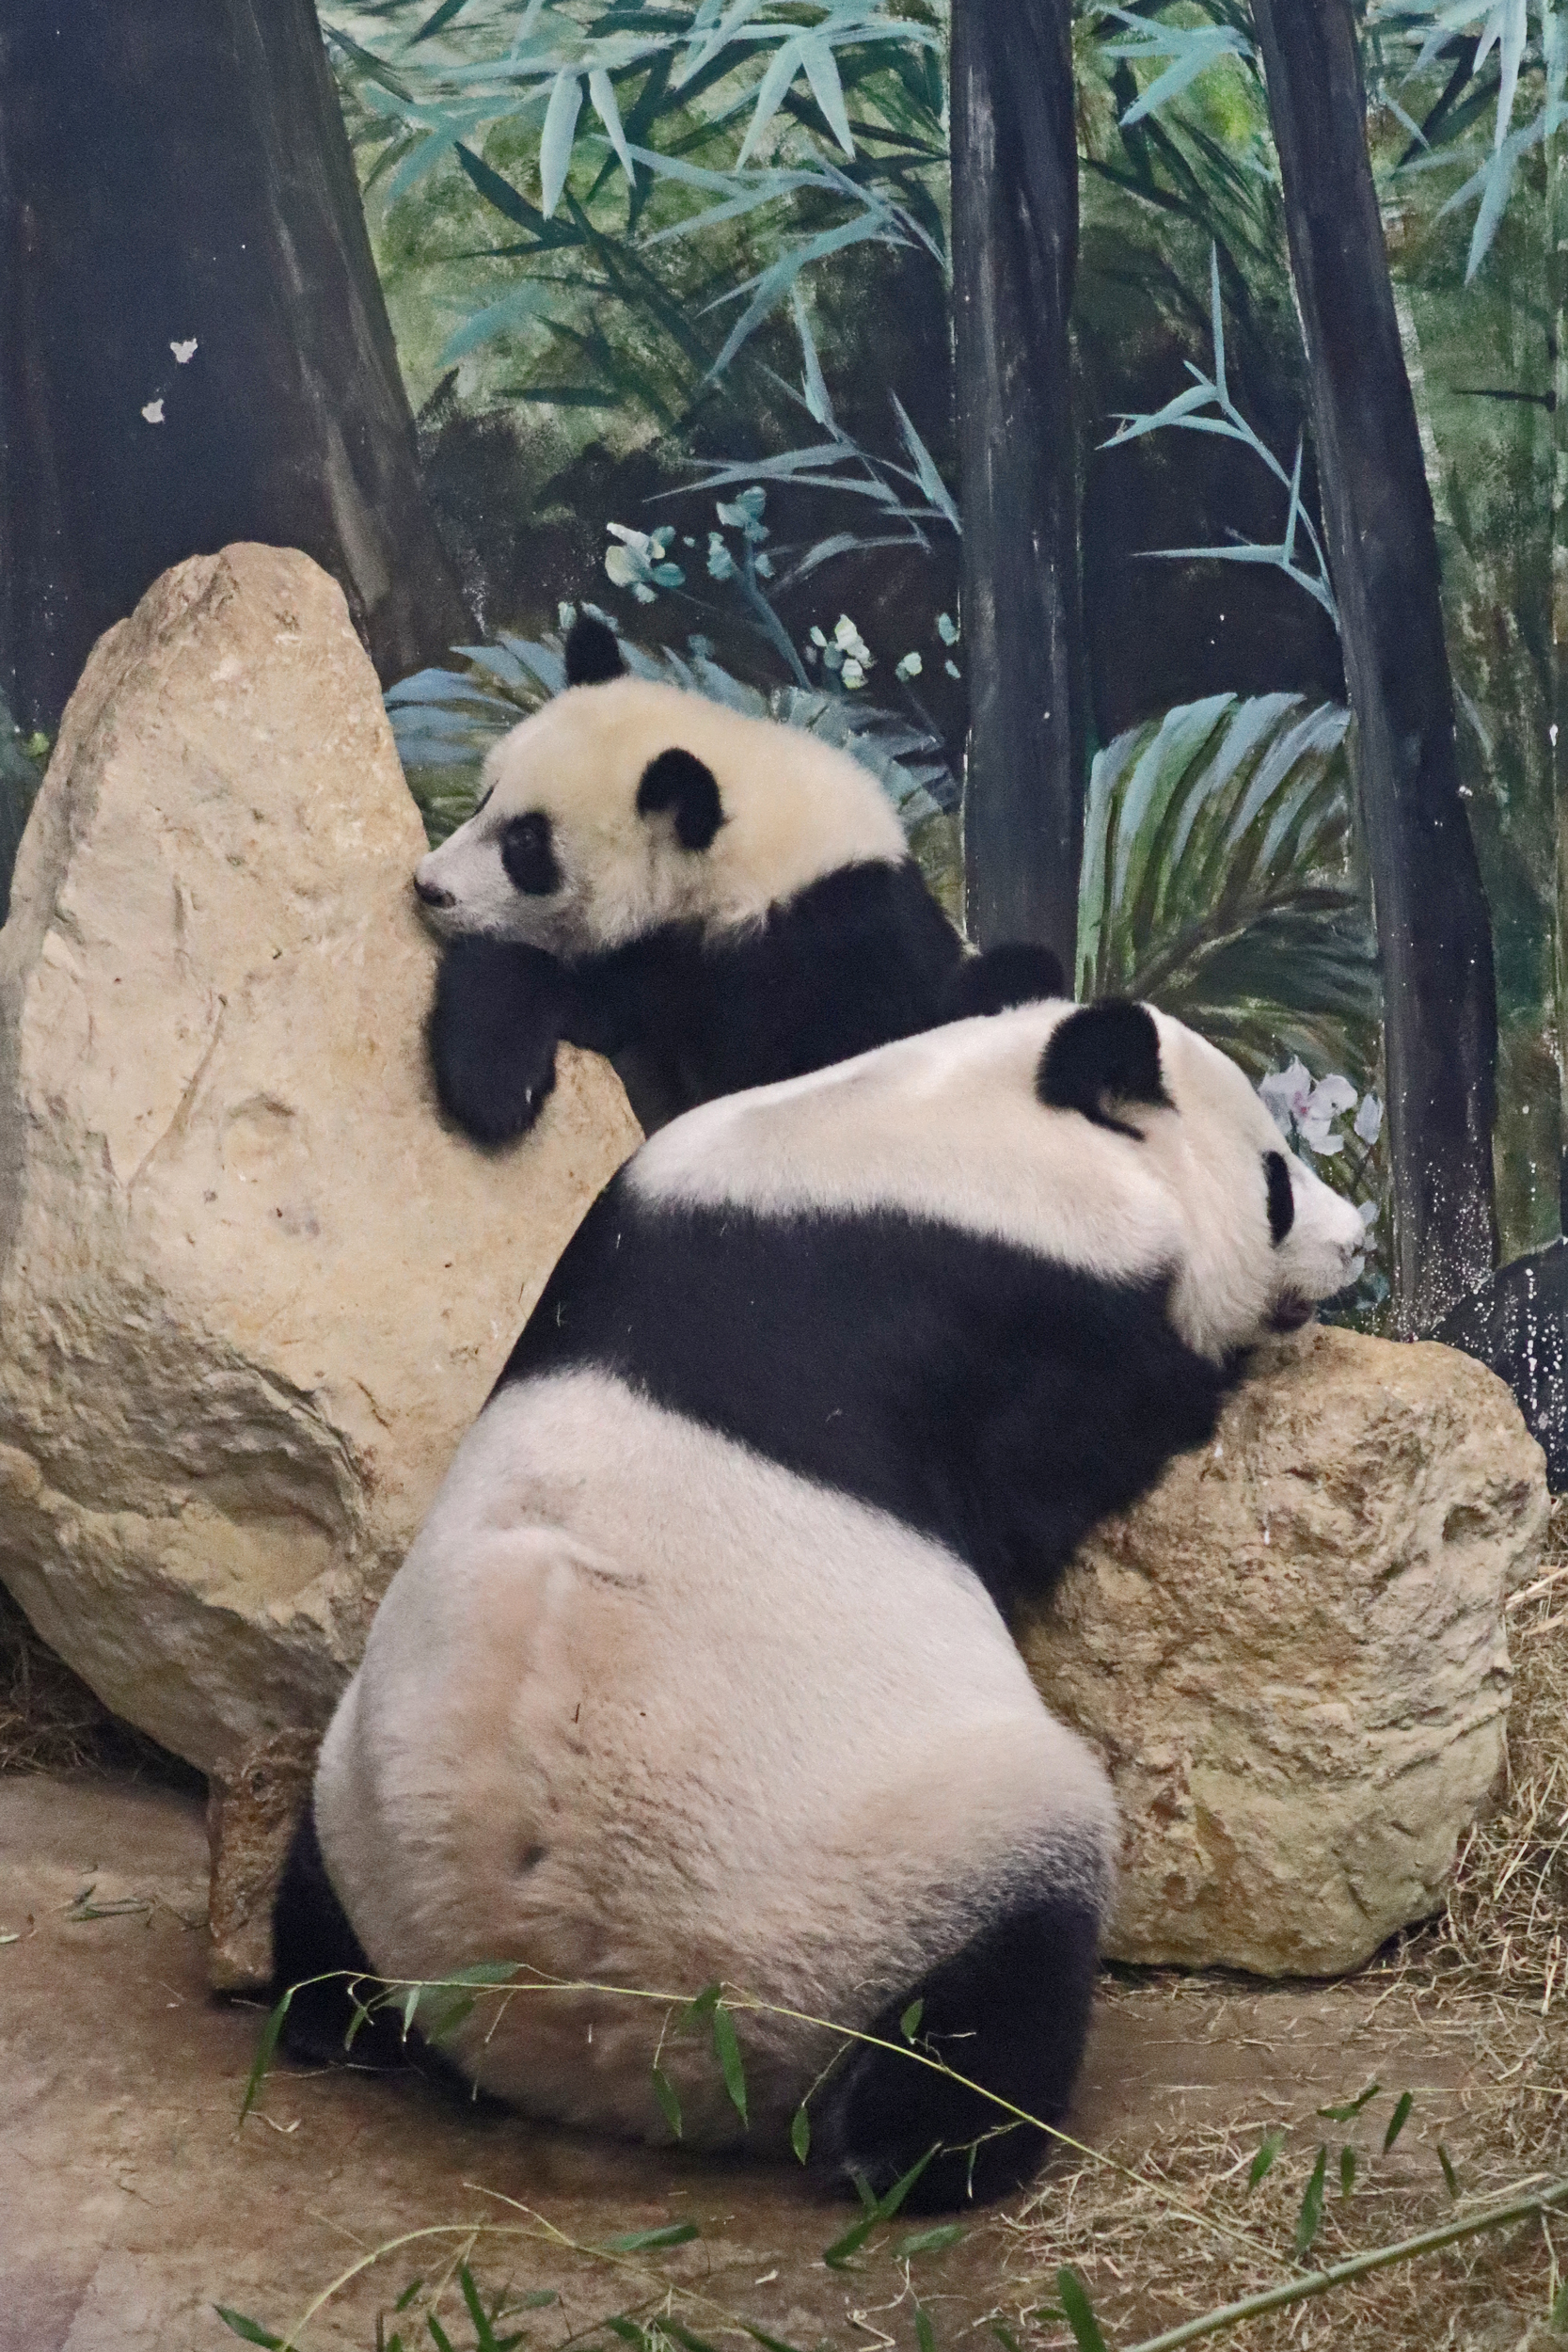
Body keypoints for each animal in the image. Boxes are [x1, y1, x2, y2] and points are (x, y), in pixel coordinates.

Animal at [272, 998, 1364, 2211]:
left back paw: (326, 2015)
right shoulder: (1000, 1313)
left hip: (367, 1807)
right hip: (890, 1871)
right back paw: (929, 2147)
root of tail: (580, 2023)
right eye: (1274, 1178)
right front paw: (1206, 1375)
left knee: (318, 1904)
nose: (1357, 1236)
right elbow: (1068, 1458)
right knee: (999, 1968)